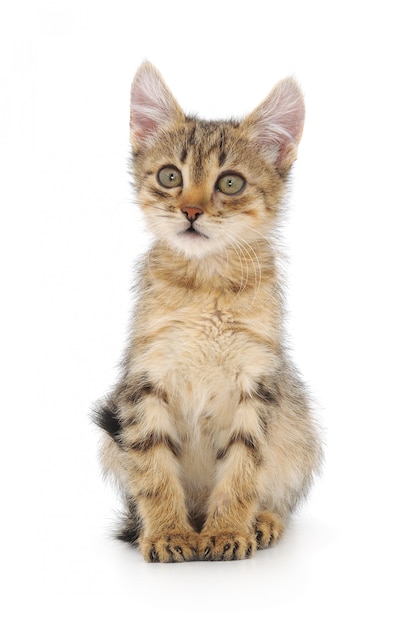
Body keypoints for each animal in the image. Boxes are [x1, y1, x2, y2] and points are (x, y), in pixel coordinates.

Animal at [93, 62, 322, 560]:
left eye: (230, 182)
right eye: (170, 177)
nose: (192, 211)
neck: (206, 283)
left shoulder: (259, 385)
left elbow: (242, 470)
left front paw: (227, 530)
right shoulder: (145, 381)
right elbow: (153, 471)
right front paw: (167, 533)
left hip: (299, 434)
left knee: (280, 494)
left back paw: (262, 522)